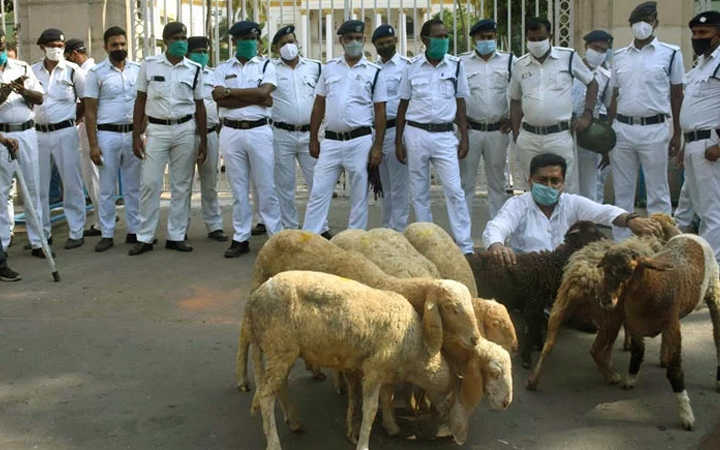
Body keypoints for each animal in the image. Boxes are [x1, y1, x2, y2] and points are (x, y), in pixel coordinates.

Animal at [246, 270, 512, 450]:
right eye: (451, 308)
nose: (506, 403)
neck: (417, 348)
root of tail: (254, 299)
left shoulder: (384, 370)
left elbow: (386, 396)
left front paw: (390, 426)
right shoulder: (373, 370)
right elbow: (371, 408)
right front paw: (363, 442)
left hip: (281, 351)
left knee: (278, 386)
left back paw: (294, 421)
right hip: (279, 346)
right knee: (266, 396)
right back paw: (274, 442)